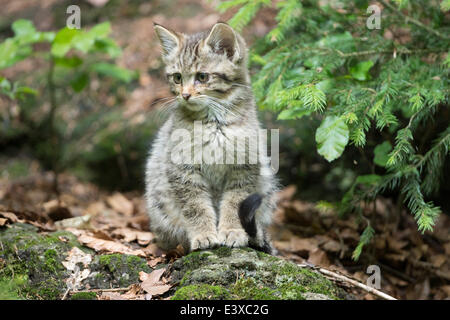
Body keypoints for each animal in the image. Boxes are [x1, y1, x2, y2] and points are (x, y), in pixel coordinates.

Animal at [144, 21, 278, 252]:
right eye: (177, 78)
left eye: (202, 77)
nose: (185, 95)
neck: (213, 123)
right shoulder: (183, 170)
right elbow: (195, 206)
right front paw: (204, 234)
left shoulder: (244, 167)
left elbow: (234, 203)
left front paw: (232, 231)